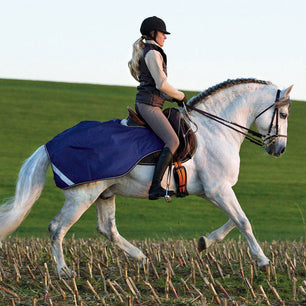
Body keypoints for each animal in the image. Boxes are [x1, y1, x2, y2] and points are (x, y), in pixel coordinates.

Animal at [0, 78, 292, 274]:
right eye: (284, 113)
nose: (279, 150)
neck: (215, 129)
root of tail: (51, 144)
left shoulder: (213, 191)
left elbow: (235, 220)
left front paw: (204, 242)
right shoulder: (218, 189)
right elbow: (243, 221)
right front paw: (263, 260)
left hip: (104, 194)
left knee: (107, 228)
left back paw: (141, 258)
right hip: (81, 197)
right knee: (57, 228)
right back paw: (64, 272)